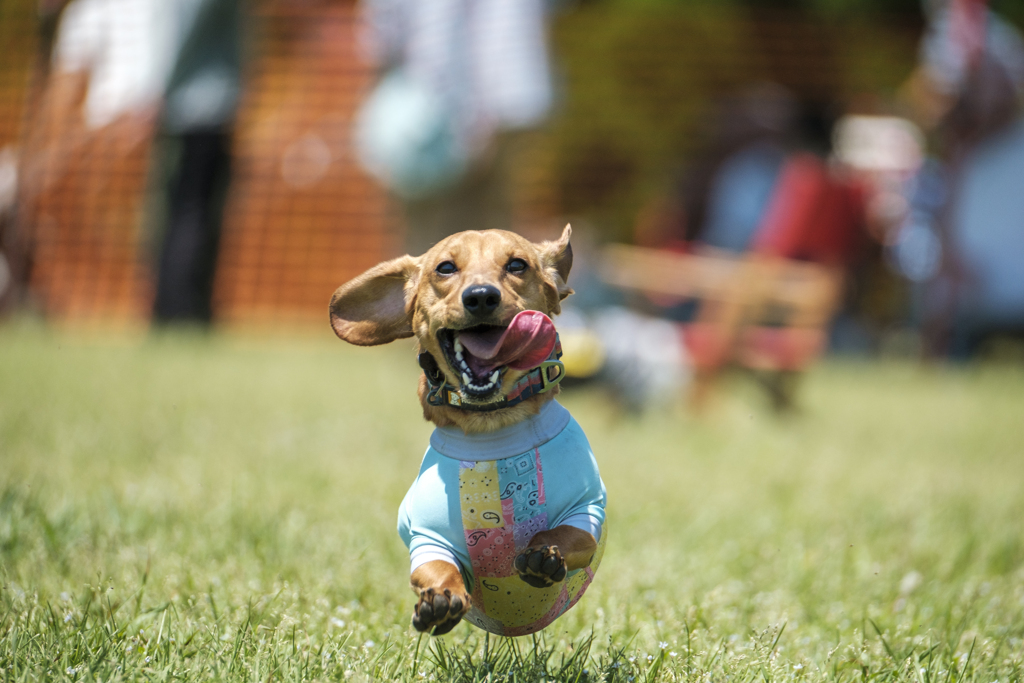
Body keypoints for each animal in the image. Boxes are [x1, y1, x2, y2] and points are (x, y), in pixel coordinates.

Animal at [327, 227, 602, 638]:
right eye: (445, 268)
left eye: (517, 264)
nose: (482, 296)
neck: (492, 428)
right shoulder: (427, 537)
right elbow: (437, 567)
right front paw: (440, 599)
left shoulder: (588, 511)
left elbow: (567, 535)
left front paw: (544, 557)